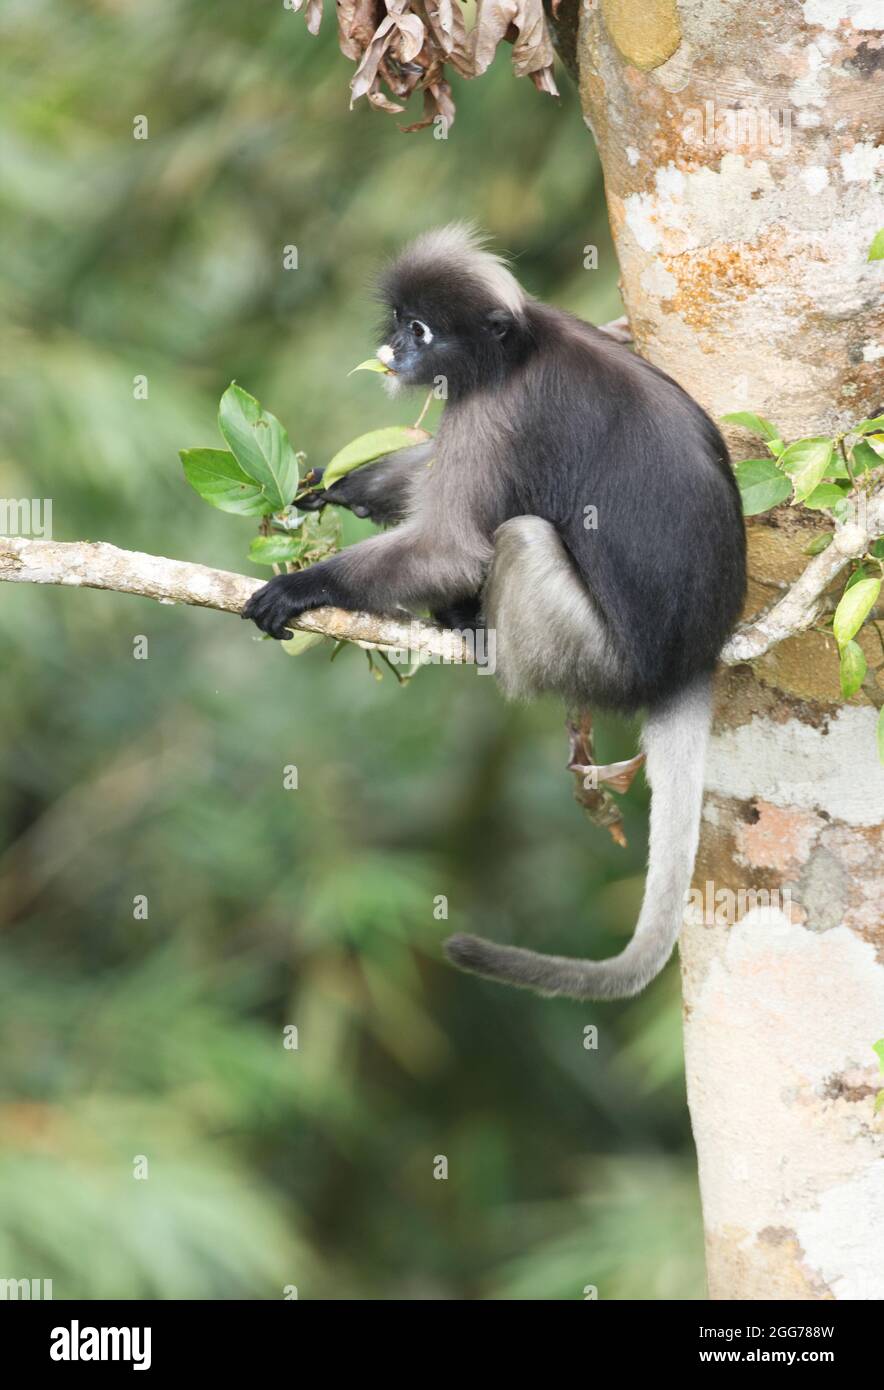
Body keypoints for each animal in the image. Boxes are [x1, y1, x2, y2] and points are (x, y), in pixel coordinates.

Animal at [243, 225, 745, 1000]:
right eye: (398, 321)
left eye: (420, 330)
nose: (392, 349)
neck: (522, 346)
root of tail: (688, 662)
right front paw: (337, 484)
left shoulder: (495, 411)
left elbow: (451, 546)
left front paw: (306, 586)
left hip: (596, 659)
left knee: (523, 536)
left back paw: (476, 632)